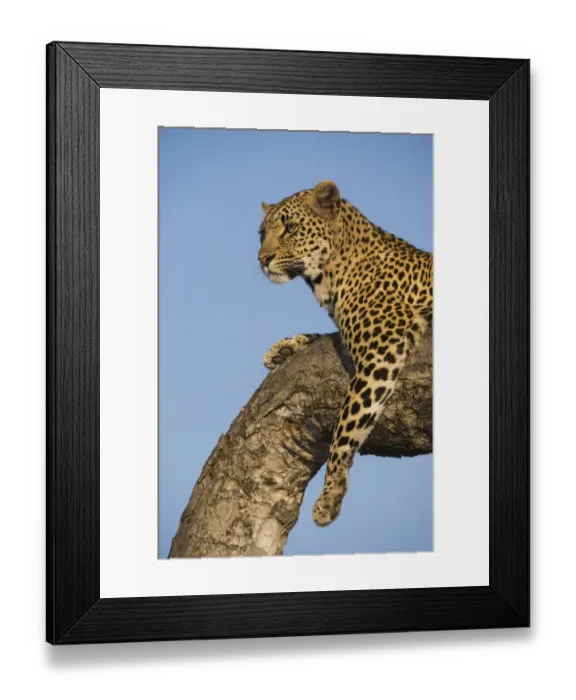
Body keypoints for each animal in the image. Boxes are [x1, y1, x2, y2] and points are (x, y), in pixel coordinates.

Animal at [257, 180, 433, 527]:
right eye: (261, 233)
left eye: (290, 227)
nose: (262, 258)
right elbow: (328, 336)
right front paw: (283, 349)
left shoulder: (381, 350)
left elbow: (346, 424)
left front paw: (330, 496)